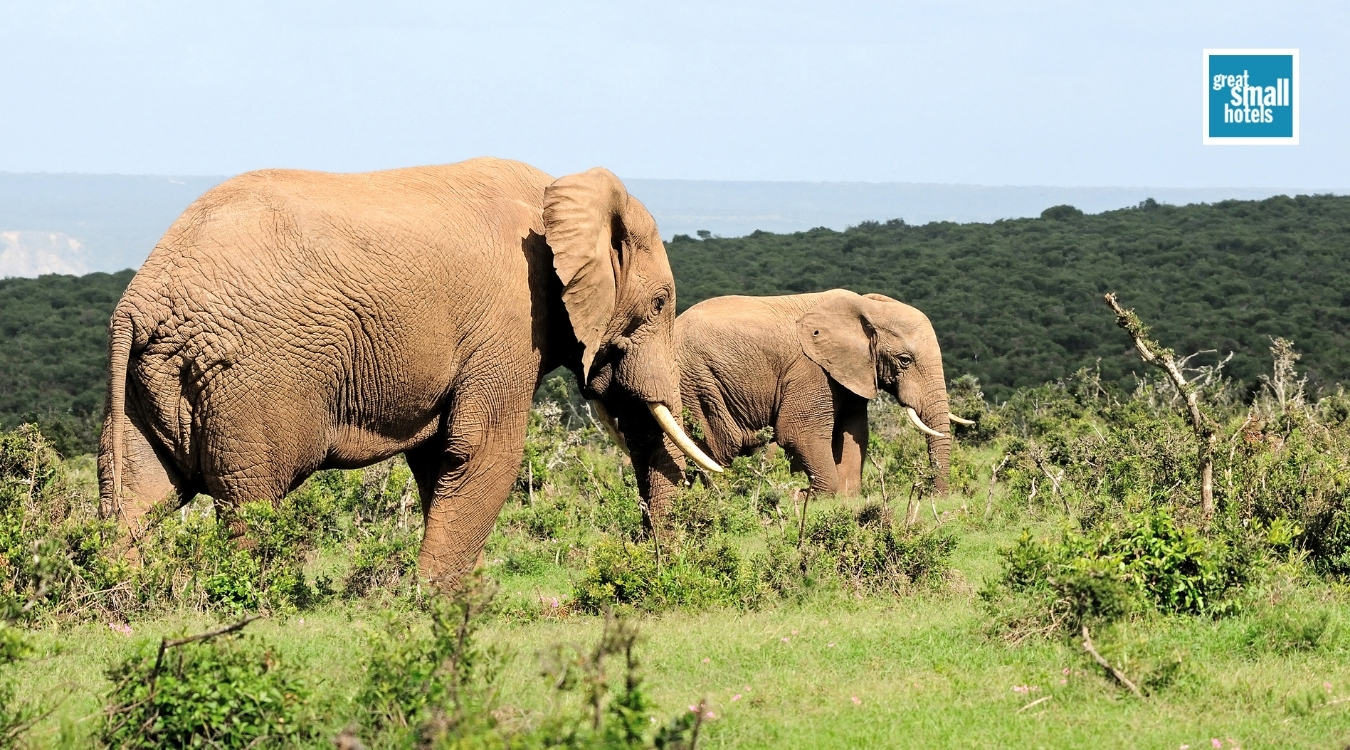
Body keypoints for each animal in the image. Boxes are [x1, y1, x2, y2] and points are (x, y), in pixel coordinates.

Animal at [98, 157, 720, 585]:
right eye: (660, 304)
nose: (654, 562)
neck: (557, 192)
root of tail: (142, 297)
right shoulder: (511, 317)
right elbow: (483, 451)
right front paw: (438, 601)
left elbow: (438, 455)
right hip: (250, 379)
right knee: (250, 499)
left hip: (150, 376)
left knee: (137, 495)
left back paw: (122, 600)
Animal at [637, 289, 954, 519]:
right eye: (905, 360)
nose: (935, 498)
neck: (866, 306)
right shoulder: (810, 370)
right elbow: (800, 434)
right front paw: (804, 498)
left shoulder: (850, 372)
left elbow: (854, 433)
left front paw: (844, 498)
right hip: (696, 384)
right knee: (716, 448)